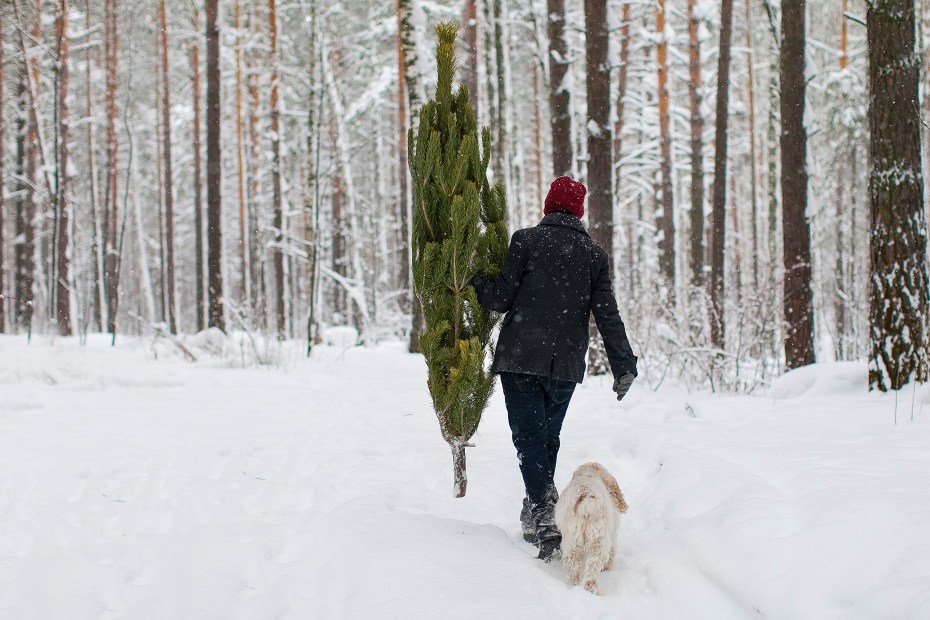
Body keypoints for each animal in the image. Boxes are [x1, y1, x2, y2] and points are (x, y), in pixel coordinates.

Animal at [556, 462, 628, 592]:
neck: (588, 474)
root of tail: (585, 496)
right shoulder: (612, 536)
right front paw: (607, 568)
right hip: (598, 542)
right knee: (591, 571)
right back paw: (593, 589)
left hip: (572, 542)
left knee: (574, 565)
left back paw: (575, 585)